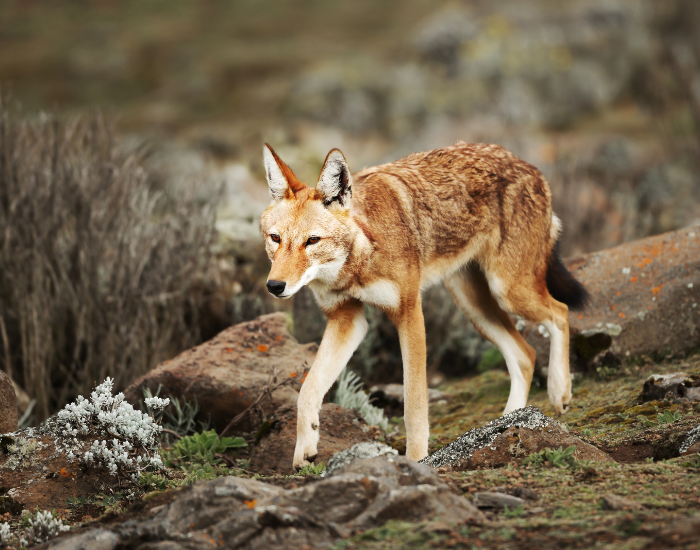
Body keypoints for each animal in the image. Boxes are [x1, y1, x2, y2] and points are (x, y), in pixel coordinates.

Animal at [259, 142, 588, 469]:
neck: (360, 257)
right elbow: (307, 390)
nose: (274, 286)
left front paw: (416, 461)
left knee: (560, 313)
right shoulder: (346, 320)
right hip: (472, 303)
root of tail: (528, 165)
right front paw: (305, 450)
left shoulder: (409, 313)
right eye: (275, 238)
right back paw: (509, 422)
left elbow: (414, 407)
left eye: (312, 241)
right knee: (526, 355)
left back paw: (559, 393)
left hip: (507, 291)